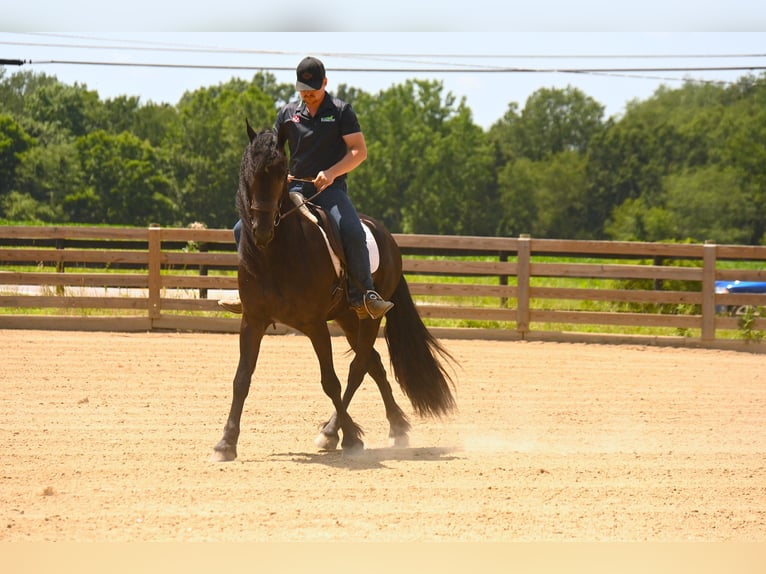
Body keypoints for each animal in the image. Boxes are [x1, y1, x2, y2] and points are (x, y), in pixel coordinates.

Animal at [211, 123, 456, 461]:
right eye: (248, 171)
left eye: (281, 172)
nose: (261, 229)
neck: (277, 254)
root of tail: (385, 235)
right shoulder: (253, 320)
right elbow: (241, 379)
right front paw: (226, 443)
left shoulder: (315, 325)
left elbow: (331, 381)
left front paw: (350, 437)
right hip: (348, 318)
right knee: (374, 365)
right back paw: (395, 427)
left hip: (368, 318)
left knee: (358, 369)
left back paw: (332, 432)